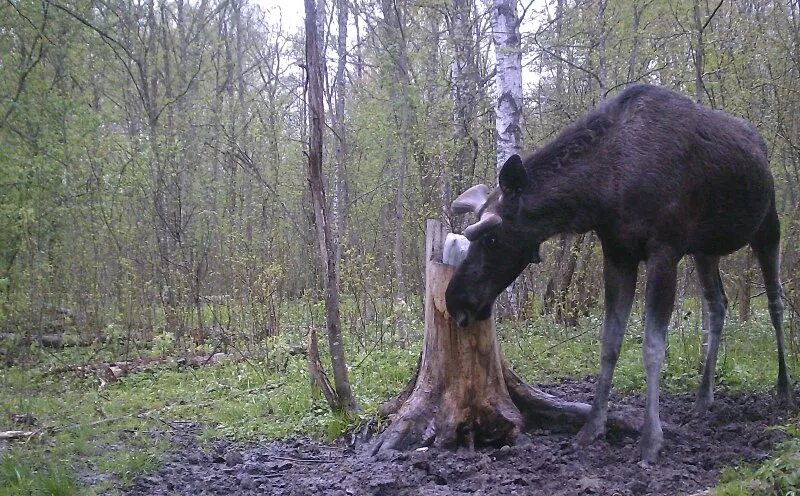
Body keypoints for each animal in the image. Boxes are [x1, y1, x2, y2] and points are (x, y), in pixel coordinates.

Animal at [446, 84, 792, 462]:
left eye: (492, 237)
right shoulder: (617, 254)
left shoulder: (664, 250)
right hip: (706, 249)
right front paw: (591, 429)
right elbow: (610, 343)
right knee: (717, 305)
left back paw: (784, 388)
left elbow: (652, 346)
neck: (602, 190)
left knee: (776, 303)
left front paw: (651, 439)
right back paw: (703, 398)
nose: (455, 300)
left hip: (768, 226)